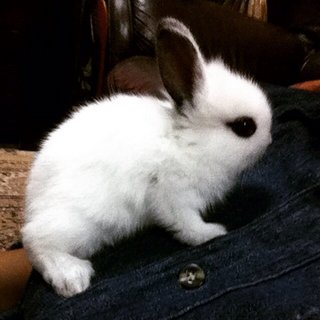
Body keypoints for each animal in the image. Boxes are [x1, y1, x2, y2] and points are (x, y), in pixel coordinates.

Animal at [21, 17, 272, 298]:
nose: (270, 141)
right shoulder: (173, 194)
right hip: (78, 223)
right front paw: (212, 233)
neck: (187, 142)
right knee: (34, 240)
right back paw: (72, 278)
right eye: (245, 127)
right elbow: (186, 225)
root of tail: (33, 202)